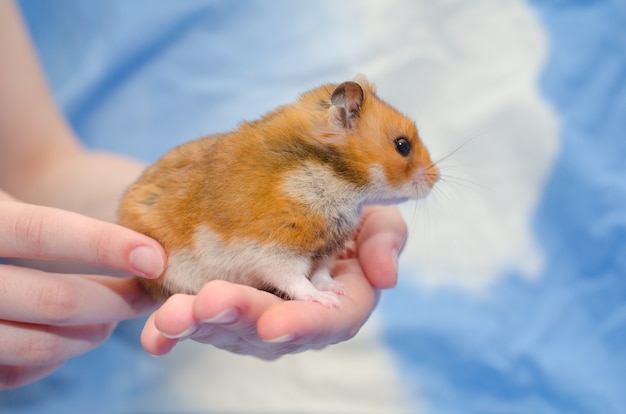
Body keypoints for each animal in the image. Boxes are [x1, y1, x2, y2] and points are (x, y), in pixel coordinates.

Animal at [118, 74, 438, 308]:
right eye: (402, 145)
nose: (436, 179)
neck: (337, 179)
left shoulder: (325, 250)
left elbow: (321, 272)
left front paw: (337, 290)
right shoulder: (275, 250)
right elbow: (296, 280)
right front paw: (327, 301)